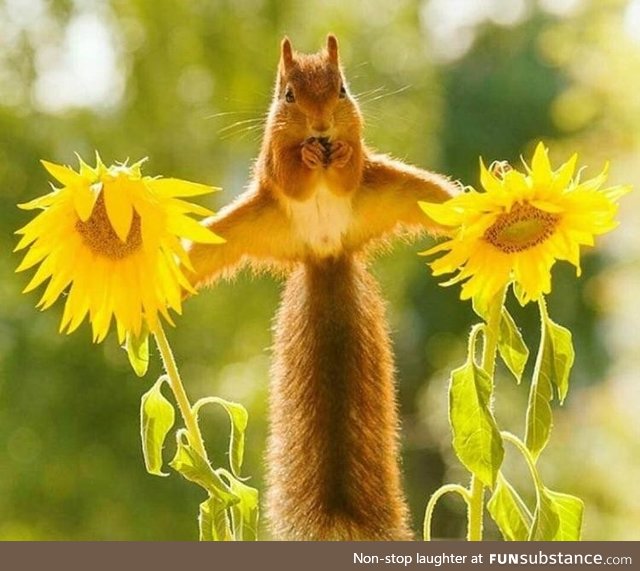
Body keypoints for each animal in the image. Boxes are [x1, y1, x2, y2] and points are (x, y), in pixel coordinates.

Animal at [186, 34, 460, 540]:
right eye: (288, 95)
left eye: (343, 90)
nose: (320, 125)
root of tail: (326, 254)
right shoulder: (272, 160)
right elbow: (290, 175)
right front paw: (309, 158)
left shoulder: (357, 144)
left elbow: (351, 167)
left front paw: (340, 157)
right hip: (242, 227)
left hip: (407, 191)